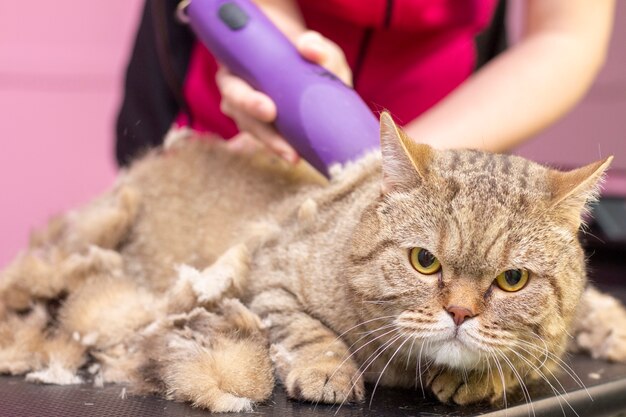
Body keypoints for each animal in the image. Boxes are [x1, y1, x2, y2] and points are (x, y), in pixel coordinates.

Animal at [1, 111, 624, 412]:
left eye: (512, 280)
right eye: (424, 261)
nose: (460, 314)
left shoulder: (551, 345)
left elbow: (525, 359)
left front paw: (477, 378)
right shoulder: (269, 280)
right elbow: (308, 330)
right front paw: (329, 369)